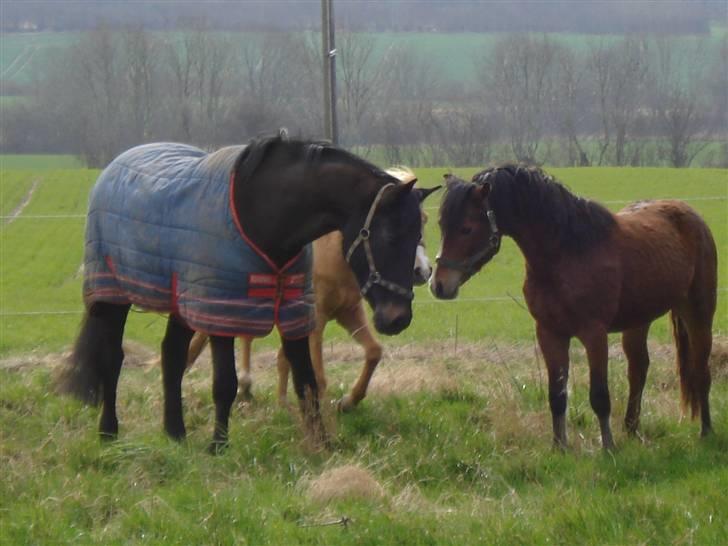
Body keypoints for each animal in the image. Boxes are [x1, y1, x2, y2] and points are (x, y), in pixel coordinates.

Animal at [185, 166, 440, 408]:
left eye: (424, 220)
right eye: (392, 232)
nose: (422, 271)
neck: (332, 257)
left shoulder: (348, 313)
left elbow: (373, 352)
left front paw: (347, 402)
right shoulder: (316, 320)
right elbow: (317, 376)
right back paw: (240, 383)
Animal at [432, 164, 716, 448]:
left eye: (466, 228)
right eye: (442, 225)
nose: (438, 285)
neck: (568, 252)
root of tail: (691, 214)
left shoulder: (594, 334)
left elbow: (599, 395)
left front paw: (608, 447)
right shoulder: (549, 333)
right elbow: (557, 396)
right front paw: (559, 446)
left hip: (699, 312)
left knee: (701, 369)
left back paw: (706, 431)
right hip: (638, 320)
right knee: (638, 368)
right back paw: (631, 430)